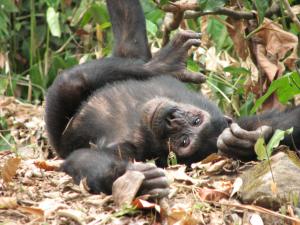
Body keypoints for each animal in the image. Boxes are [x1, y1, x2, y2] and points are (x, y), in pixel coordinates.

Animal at [45, 0, 300, 197]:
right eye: (196, 121)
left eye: (184, 141)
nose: (173, 120)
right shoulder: (239, 121)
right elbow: (281, 123)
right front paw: (251, 140)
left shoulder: (130, 150)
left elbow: (82, 157)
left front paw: (131, 180)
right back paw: (164, 64)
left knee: (71, 81)